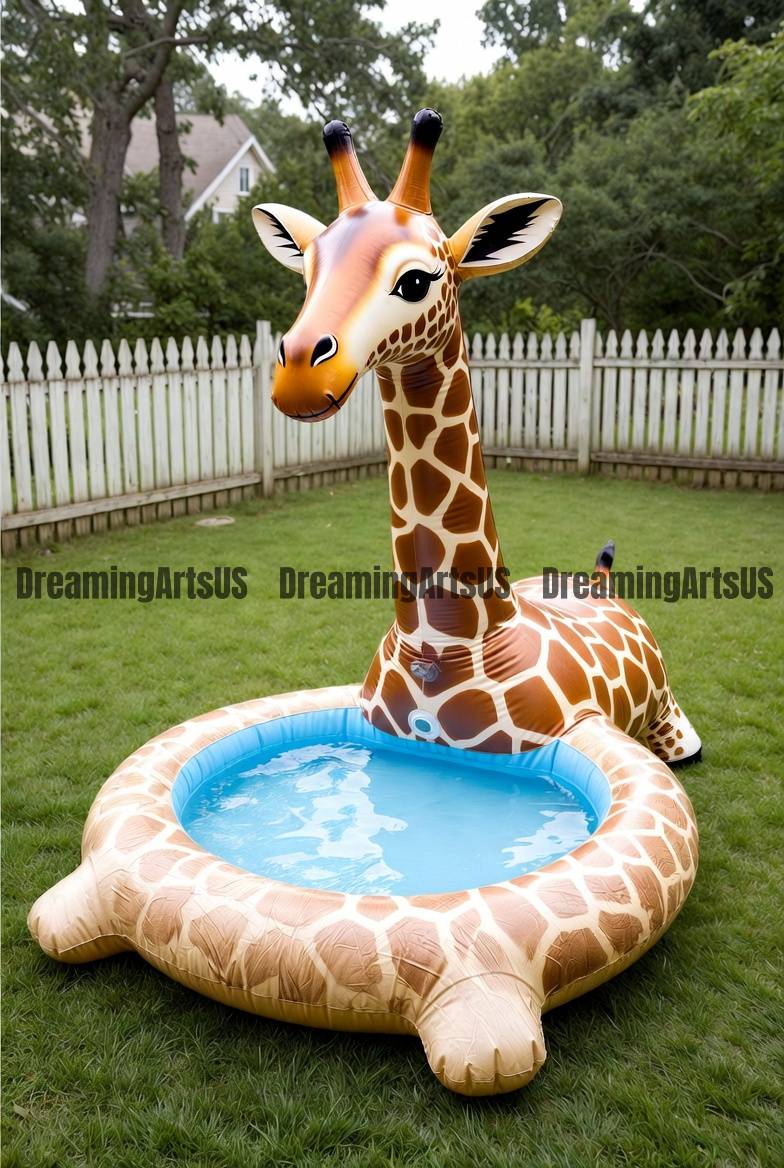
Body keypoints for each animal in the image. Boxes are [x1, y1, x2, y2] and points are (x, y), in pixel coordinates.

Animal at [252, 108, 702, 765]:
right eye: (307, 273)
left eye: (416, 280)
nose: (301, 373)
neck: (441, 644)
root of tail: (599, 582)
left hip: (669, 718)